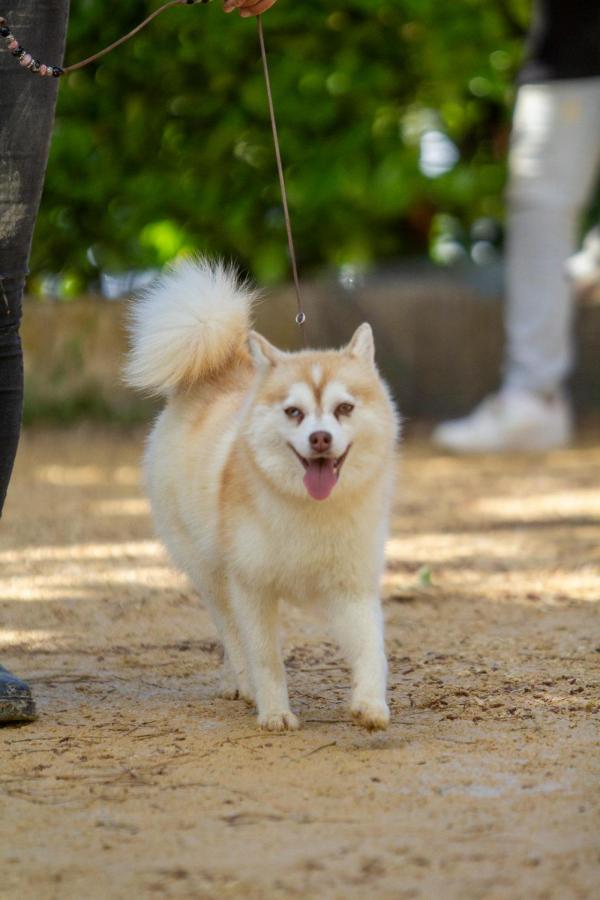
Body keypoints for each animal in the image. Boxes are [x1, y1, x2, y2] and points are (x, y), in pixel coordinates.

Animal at [126, 258, 398, 732]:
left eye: (344, 408)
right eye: (294, 412)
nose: (321, 438)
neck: (310, 510)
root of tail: (221, 366)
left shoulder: (353, 586)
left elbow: (371, 650)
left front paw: (370, 705)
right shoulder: (252, 587)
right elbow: (266, 658)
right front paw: (274, 711)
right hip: (211, 573)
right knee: (231, 635)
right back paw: (242, 685)